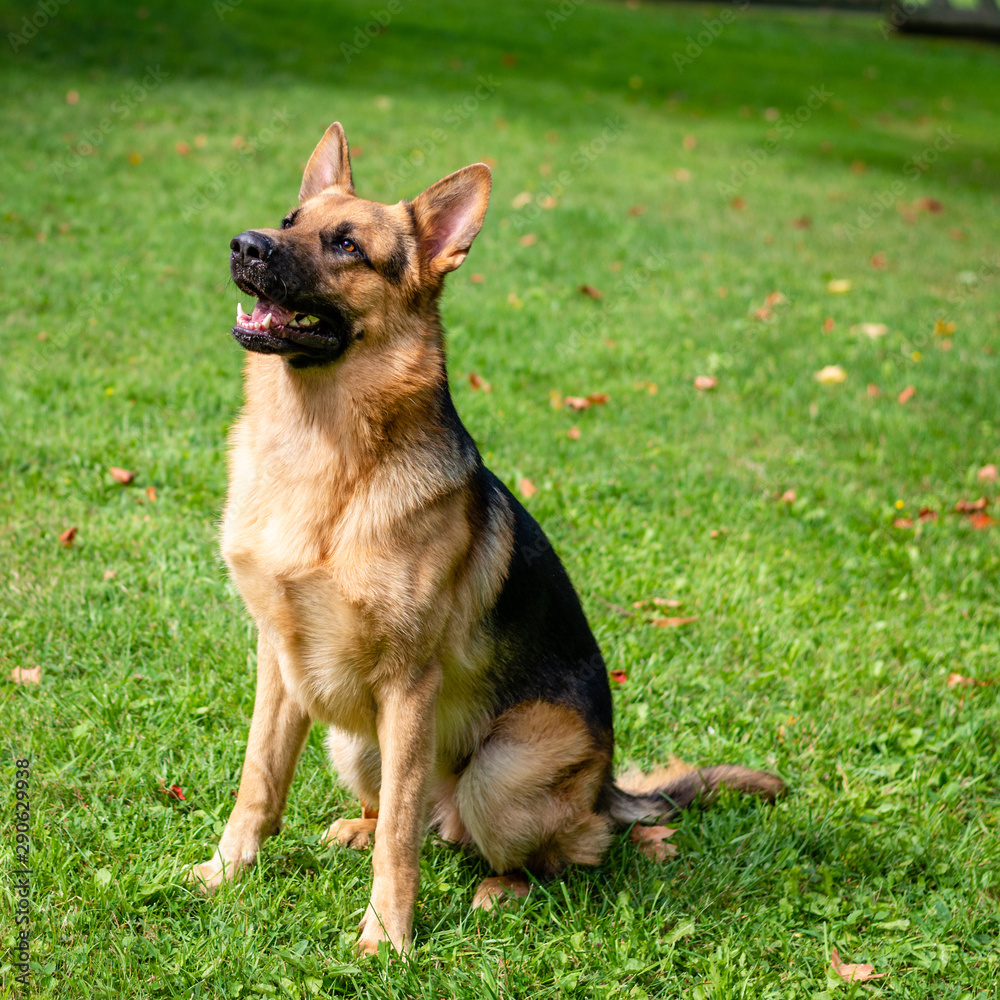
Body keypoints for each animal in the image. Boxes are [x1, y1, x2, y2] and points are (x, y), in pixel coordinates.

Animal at [186, 123, 780, 952]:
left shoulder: (409, 686)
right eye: (289, 219)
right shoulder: (279, 662)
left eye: (346, 244)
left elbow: (400, 837)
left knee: (559, 845)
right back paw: (357, 829)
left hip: (498, 778)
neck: (324, 453)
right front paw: (227, 873)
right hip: (353, 741)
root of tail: (608, 786)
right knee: (412, 817)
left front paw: (387, 936)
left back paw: (504, 888)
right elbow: (259, 783)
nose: (245, 247)